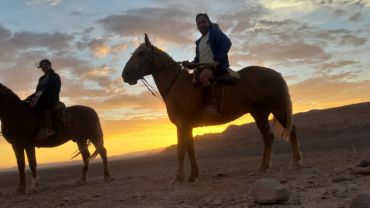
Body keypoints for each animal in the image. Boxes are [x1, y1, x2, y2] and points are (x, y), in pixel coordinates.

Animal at [123, 35, 302, 183]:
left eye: (141, 53)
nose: (125, 75)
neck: (177, 85)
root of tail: (276, 74)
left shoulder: (182, 124)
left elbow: (181, 150)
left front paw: (179, 177)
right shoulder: (188, 125)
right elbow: (191, 149)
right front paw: (193, 175)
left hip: (279, 109)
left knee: (291, 131)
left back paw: (296, 162)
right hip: (259, 114)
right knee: (268, 138)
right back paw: (263, 168)